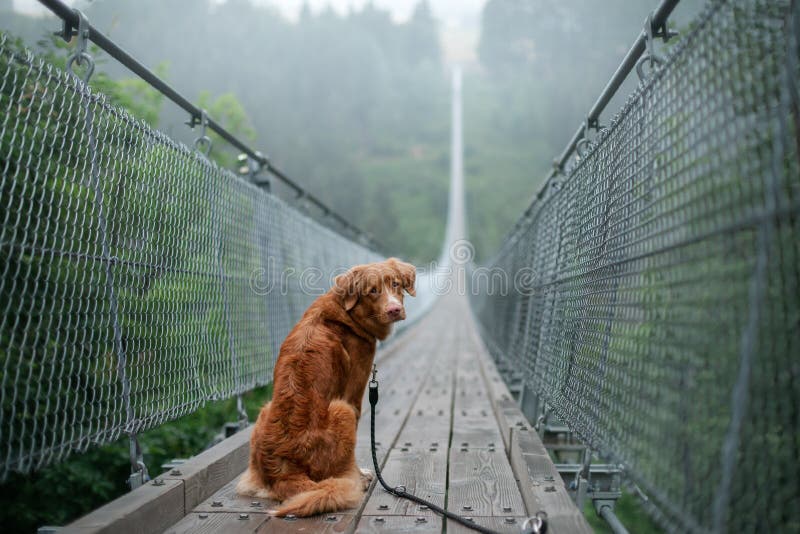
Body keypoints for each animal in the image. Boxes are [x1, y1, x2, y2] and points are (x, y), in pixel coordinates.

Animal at [234, 260, 416, 520]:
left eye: (396, 284)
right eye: (372, 291)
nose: (394, 309)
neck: (347, 314)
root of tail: (283, 473)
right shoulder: (353, 395)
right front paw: (359, 475)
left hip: (265, 411)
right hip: (342, 409)